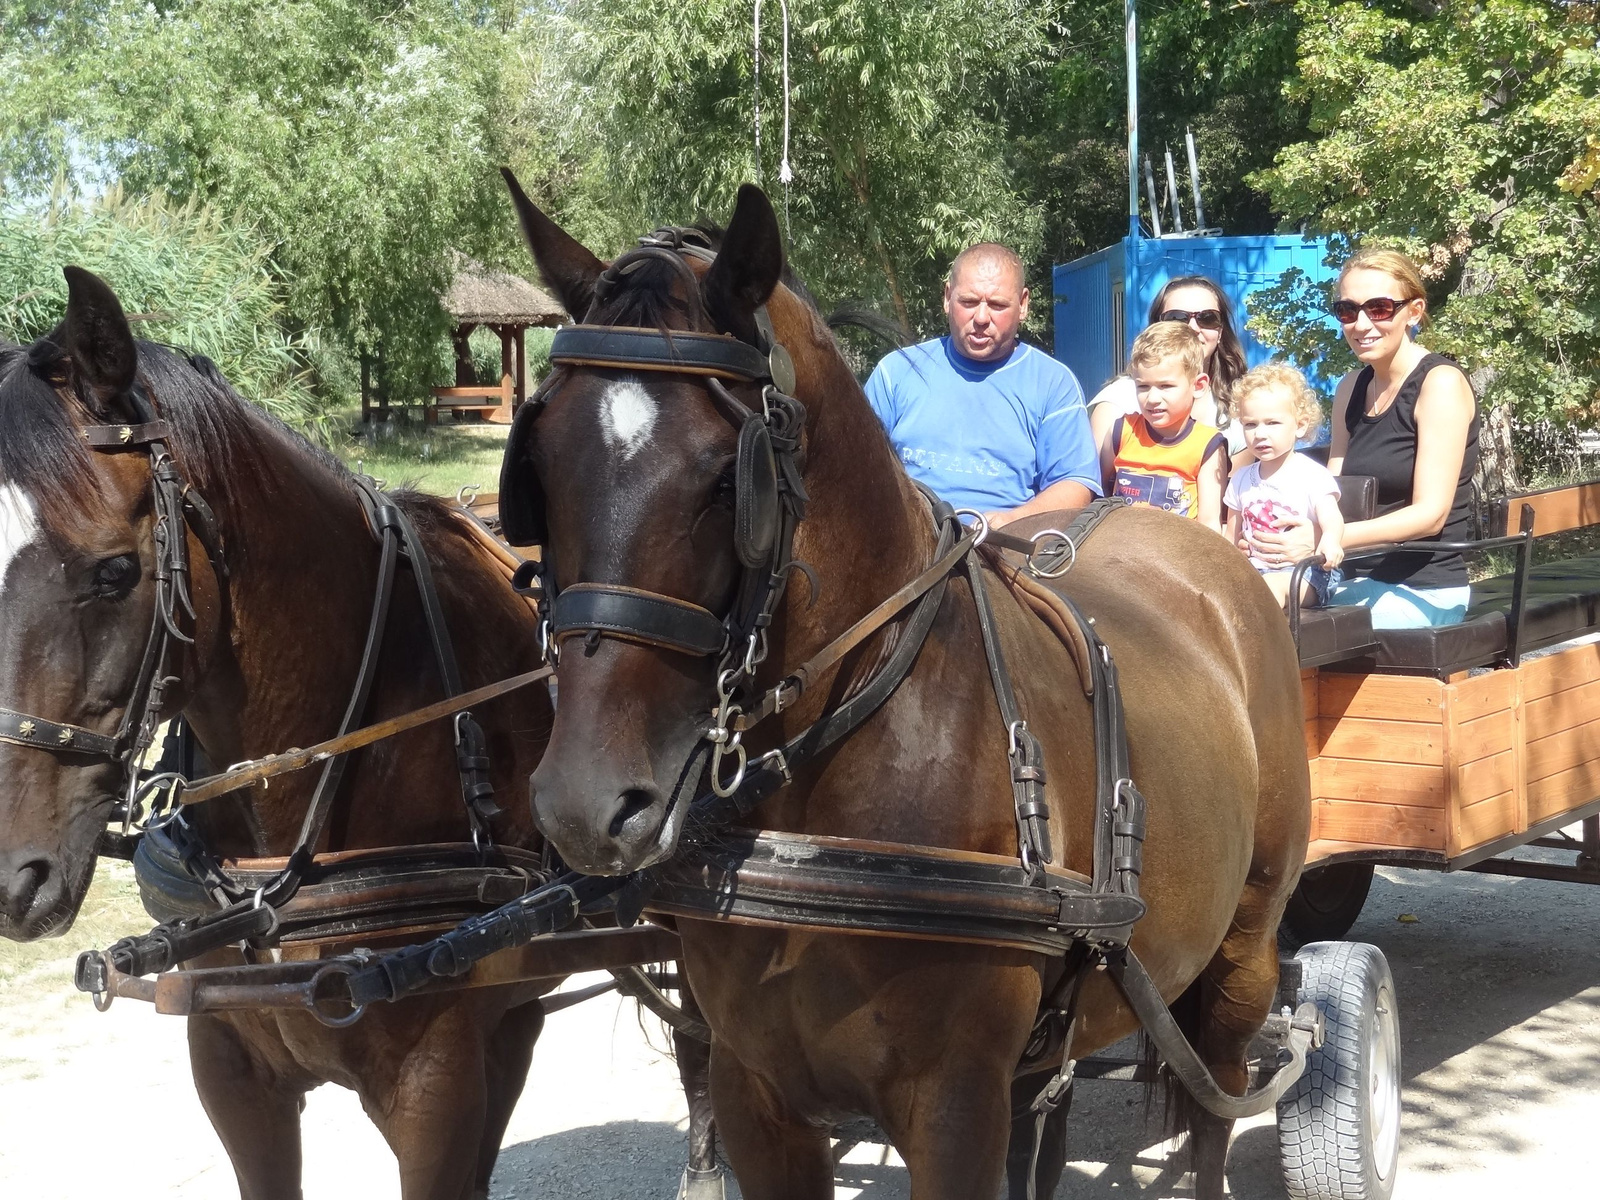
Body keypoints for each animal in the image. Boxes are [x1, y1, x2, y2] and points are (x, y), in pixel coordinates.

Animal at [502, 180, 1312, 1200]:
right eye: (539, 467)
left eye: (728, 479)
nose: (584, 803)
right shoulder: (756, 1094)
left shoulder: (953, 1106)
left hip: (1245, 948)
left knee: (1215, 1103)